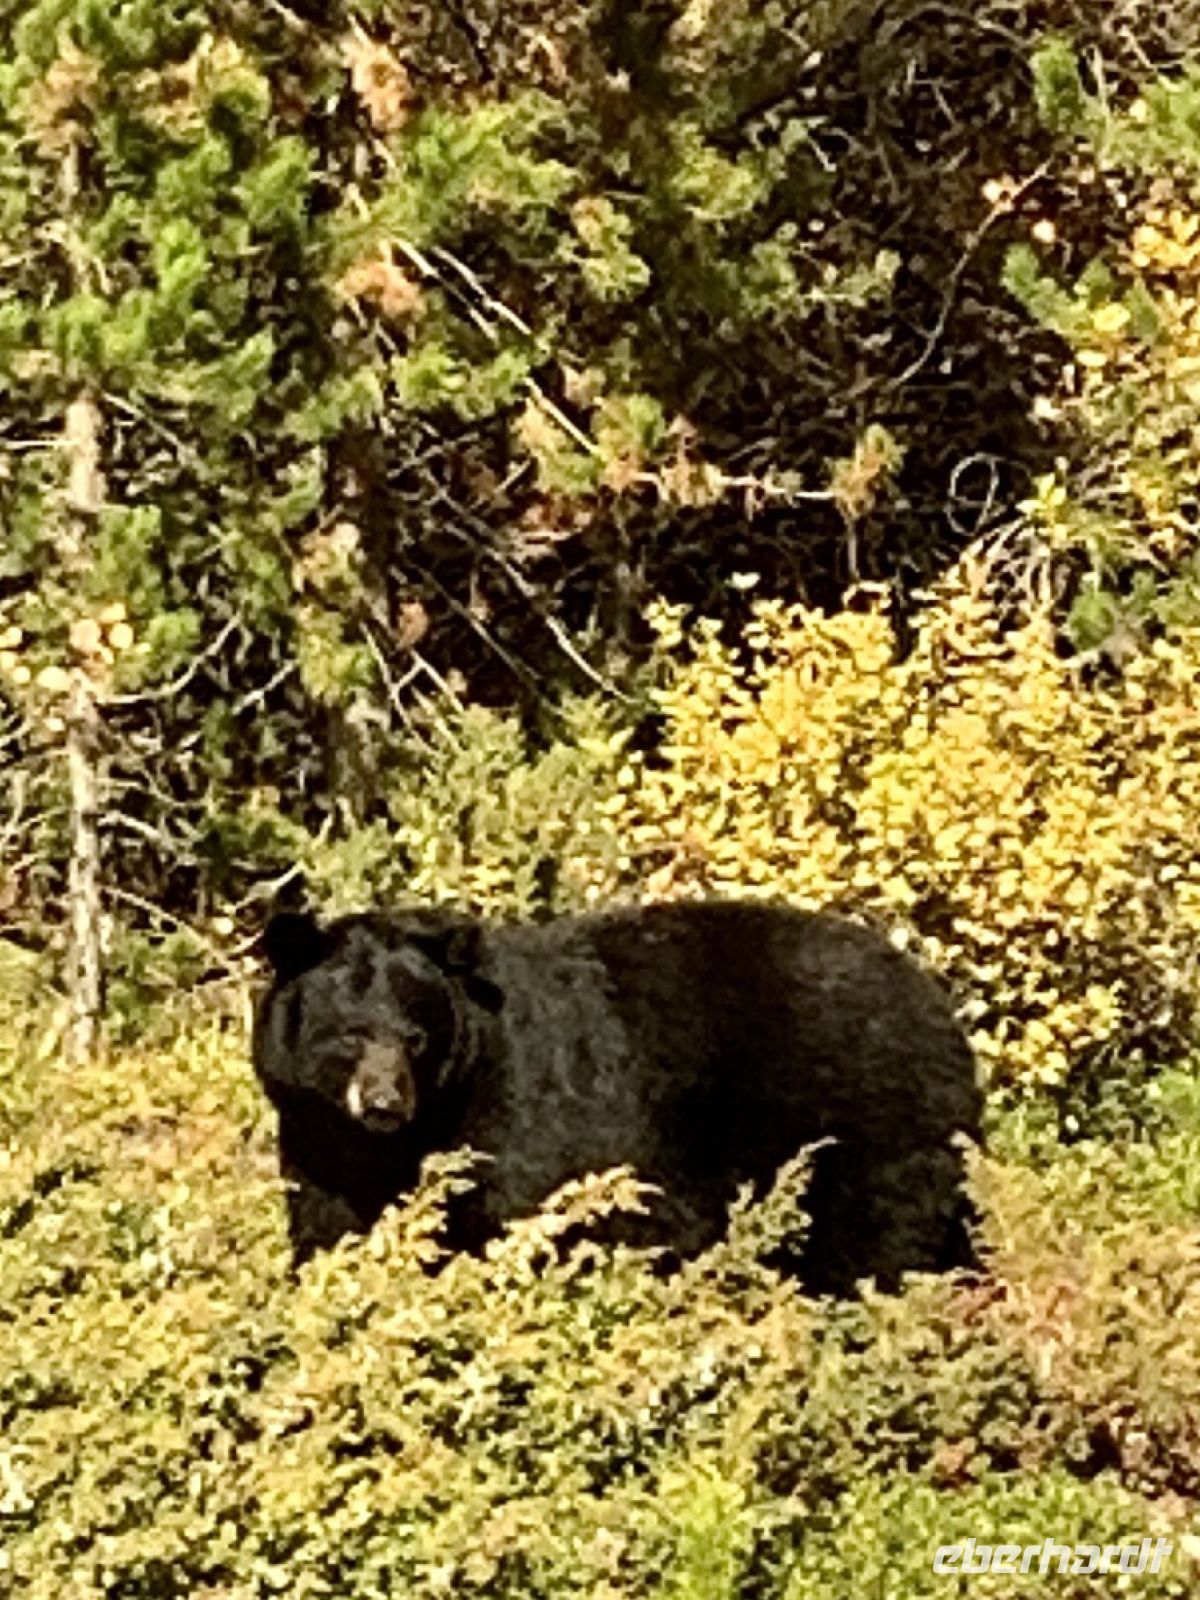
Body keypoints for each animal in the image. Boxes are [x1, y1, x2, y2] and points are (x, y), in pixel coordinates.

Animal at [252, 898, 982, 1294]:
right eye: (350, 1034)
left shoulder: (513, 1117)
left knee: (873, 1244)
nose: (384, 1103)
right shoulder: (317, 1145)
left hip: (869, 1131)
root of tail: (939, 1008)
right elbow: (328, 1228)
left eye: (416, 1037)